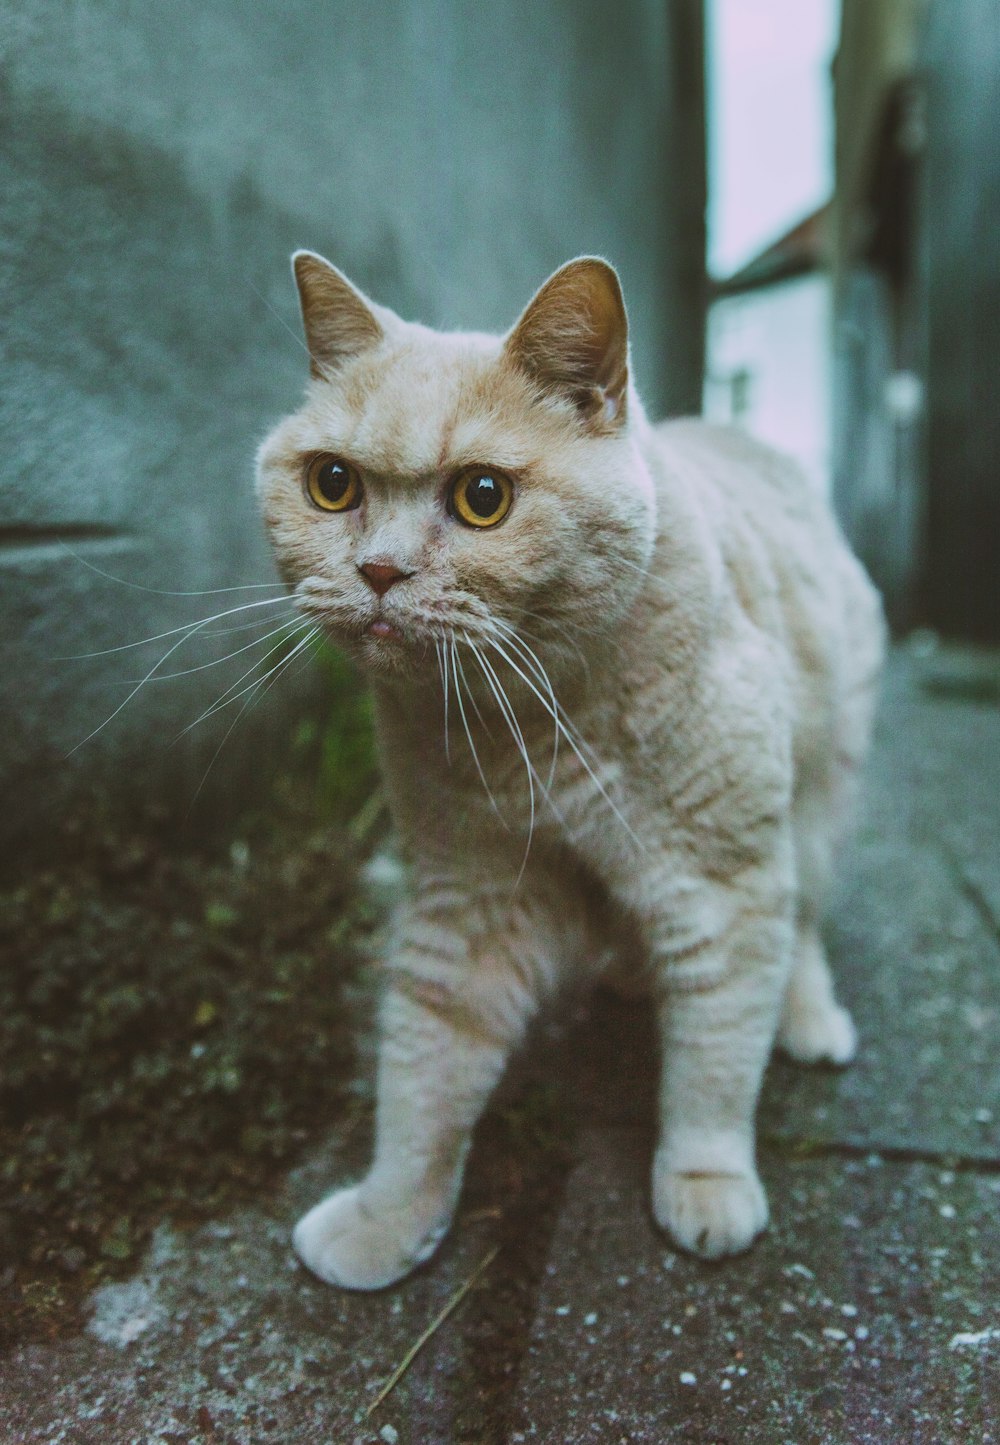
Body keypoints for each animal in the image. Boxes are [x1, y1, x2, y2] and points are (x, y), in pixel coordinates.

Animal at [255, 248, 884, 1288]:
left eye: (483, 496)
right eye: (333, 484)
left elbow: (715, 1053)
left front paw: (706, 1184)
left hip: (823, 791)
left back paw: (808, 1018)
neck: (531, 739)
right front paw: (389, 1216)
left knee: (802, 921)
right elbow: (422, 1070)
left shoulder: (722, 884)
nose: (379, 571)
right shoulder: (463, 896)